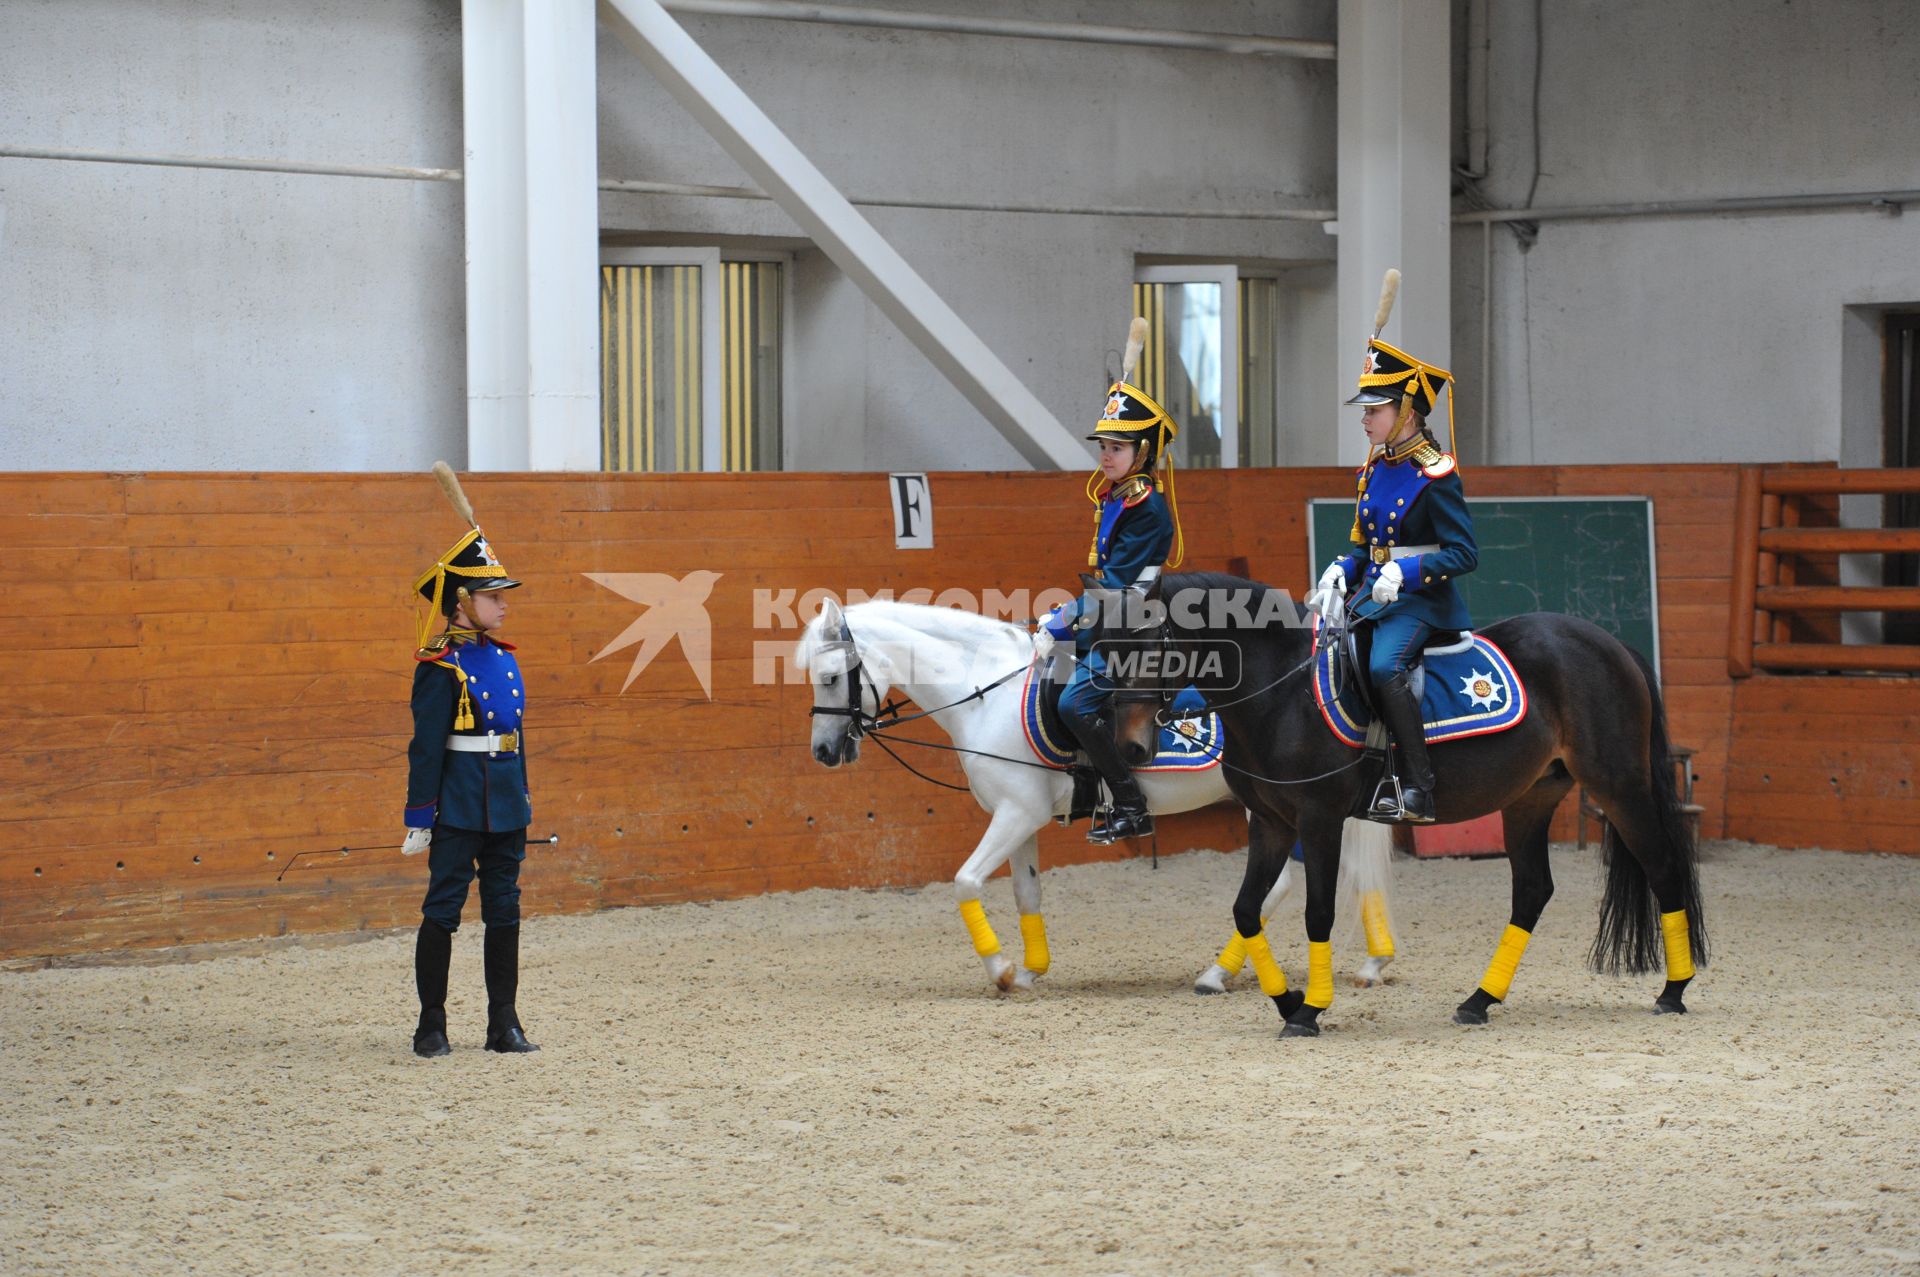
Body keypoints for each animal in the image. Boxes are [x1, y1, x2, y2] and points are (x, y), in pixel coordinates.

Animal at [794, 591, 1397, 990]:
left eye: (830, 677)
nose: (822, 751)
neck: (986, 691)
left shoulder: (1016, 813)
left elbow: (965, 881)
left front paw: (1003, 970)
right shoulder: (1022, 817)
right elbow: (1027, 893)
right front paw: (1031, 969)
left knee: (1295, 885)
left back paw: (1233, 972)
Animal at [1098, 572, 1712, 1044]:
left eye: (1149, 647)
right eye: (1105, 646)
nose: (1130, 749)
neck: (1282, 693)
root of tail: (1609, 643)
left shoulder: (1318, 820)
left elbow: (1317, 912)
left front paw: (1309, 1009)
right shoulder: (1271, 824)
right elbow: (1246, 909)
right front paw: (1286, 998)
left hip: (1618, 785)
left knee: (1662, 867)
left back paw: (1673, 990)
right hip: (1531, 798)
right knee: (1533, 890)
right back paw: (1478, 1000)